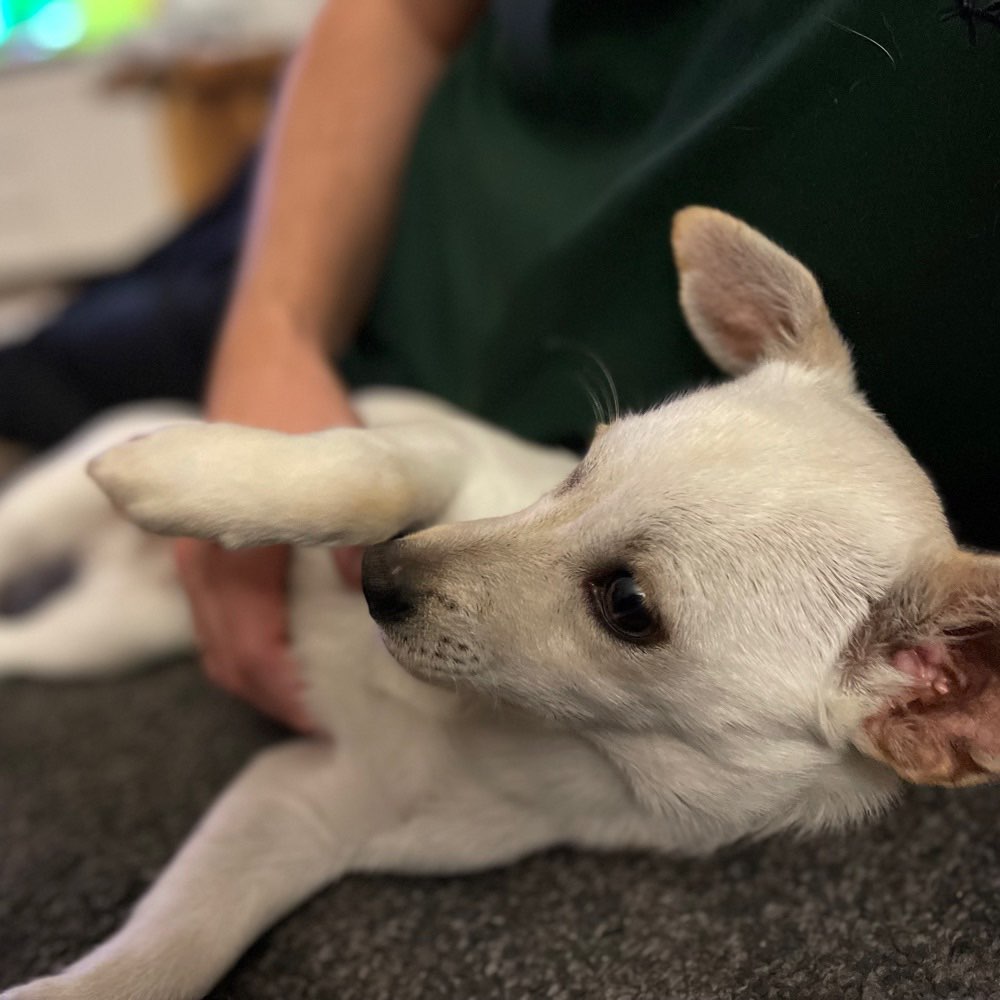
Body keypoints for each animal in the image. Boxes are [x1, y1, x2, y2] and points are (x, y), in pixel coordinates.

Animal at [3, 205, 996, 1000]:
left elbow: (174, 948)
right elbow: (371, 471)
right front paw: (189, 475)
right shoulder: (438, 450)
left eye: (627, 605)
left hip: (104, 636)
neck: (515, 723)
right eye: (583, 463)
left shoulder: (305, 810)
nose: (374, 580)